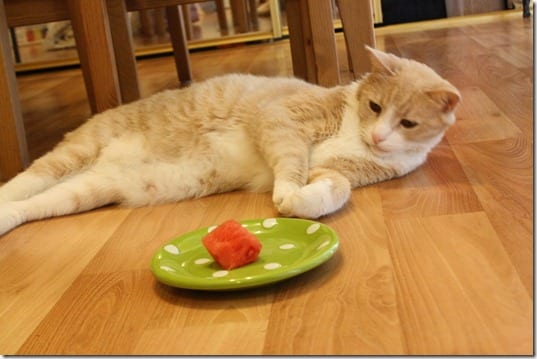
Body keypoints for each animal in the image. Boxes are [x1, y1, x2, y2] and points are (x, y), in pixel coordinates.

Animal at [0, 47, 460, 236]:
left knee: (34, 205)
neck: (353, 132)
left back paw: (7, 218)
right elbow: (291, 160)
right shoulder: (281, 119)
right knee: (25, 180)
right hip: (76, 154)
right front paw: (288, 191)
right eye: (374, 106)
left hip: (85, 191)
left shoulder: (339, 171)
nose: (379, 135)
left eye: (408, 123)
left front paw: (302, 202)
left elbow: (336, 187)